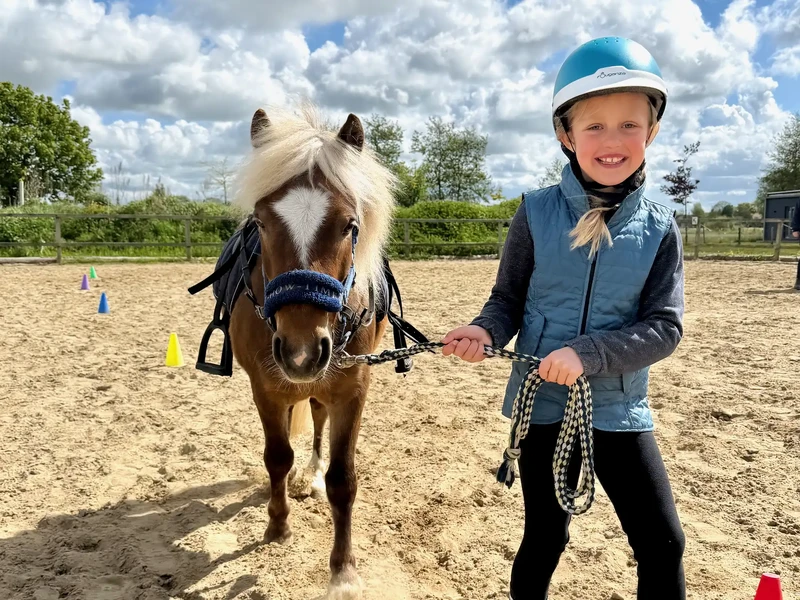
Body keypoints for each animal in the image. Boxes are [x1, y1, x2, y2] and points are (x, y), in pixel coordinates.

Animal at [193, 104, 401, 598]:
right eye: (261, 223)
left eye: (349, 226)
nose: (302, 352)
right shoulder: (265, 389)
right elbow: (276, 454)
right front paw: (277, 526)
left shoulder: (352, 389)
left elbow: (343, 479)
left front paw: (343, 572)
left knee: (318, 422)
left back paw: (309, 475)